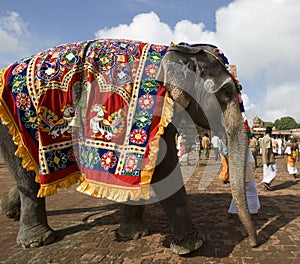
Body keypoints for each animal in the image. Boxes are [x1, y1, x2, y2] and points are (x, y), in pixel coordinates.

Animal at [0, 38, 258, 255]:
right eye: (224, 94)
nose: (254, 243)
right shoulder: (149, 109)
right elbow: (163, 167)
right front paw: (191, 246)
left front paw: (133, 235)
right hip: (15, 124)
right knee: (27, 178)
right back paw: (36, 241)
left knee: (30, 174)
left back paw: (11, 211)